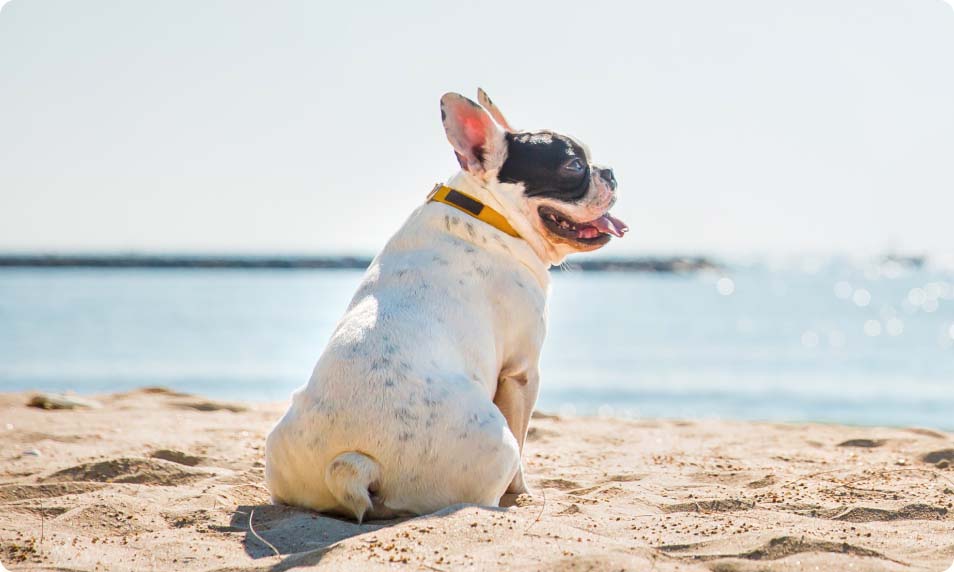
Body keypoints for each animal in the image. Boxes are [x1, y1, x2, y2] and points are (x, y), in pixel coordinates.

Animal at [264, 87, 628, 520]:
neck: (488, 213)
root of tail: (353, 463)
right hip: (495, 445)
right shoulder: (522, 372)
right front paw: (523, 491)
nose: (610, 172)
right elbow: (524, 438)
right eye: (574, 166)